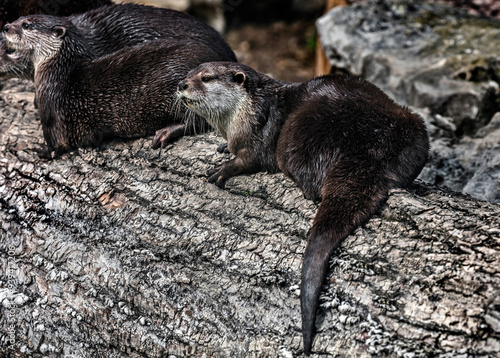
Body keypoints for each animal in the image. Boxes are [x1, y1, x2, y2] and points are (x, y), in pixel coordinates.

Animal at [1, 15, 225, 158]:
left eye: (26, 25)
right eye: (18, 18)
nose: (6, 27)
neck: (58, 71)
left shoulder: (52, 110)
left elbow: (57, 145)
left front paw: (36, 150)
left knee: (197, 120)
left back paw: (166, 131)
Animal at [174, 62, 428, 356]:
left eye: (206, 78)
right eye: (190, 73)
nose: (181, 84)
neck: (246, 113)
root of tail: (369, 146)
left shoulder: (262, 132)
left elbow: (253, 159)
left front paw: (226, 167)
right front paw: (225, 146)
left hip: (295, 138)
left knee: (307, 183)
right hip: (413, 129)